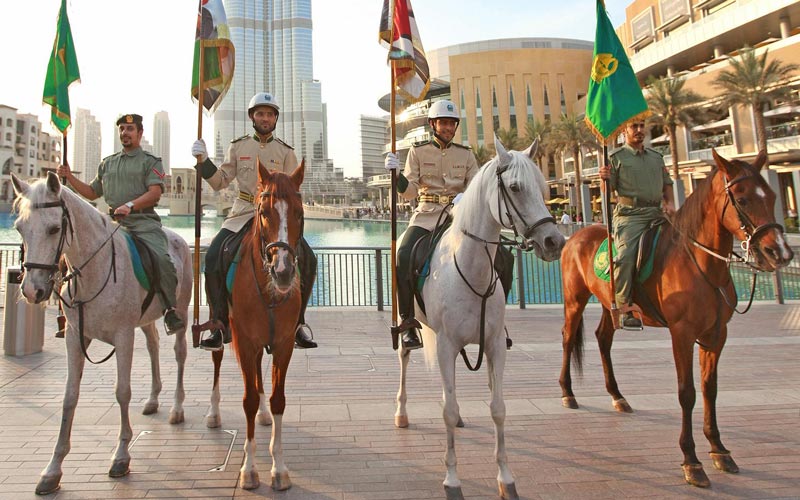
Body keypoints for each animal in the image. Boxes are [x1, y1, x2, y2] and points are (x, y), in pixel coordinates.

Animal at [10, 174, 192, 494]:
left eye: (54, 228)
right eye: (20, 227)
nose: (33, 290)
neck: (93, 269)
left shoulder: (123, 335)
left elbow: (122, 392)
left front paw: (121, 456)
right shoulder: (74, 337)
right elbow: (69, 396)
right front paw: (52, 469)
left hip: (180, 309)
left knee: (179, 354)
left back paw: (176, 407)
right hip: (145, 318)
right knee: (154, 346)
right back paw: (153, 399)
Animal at [396, 138, 564, 500]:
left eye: (544, 187)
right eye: (514, 187)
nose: (554, 242)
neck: (470, 266)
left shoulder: (495, 344)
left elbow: (497, 409)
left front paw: (506, 477)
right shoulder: (446, 345)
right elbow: (446, 411)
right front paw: (452, 480)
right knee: (404, 356)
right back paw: (401, 411)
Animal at [564, 148, 792, 488]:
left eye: (773, 195)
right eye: (742, 198)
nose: (780, 252)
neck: (699, 261)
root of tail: (577, 235)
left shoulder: (716, 334)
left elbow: (710, 389)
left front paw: (719, 449)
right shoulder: (681, 333)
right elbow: (687, 393)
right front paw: (691, 461)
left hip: (610, 303)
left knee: (603, 339)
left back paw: (618, 396)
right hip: (574, 300)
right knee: (568, 339)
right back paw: (567, 393)